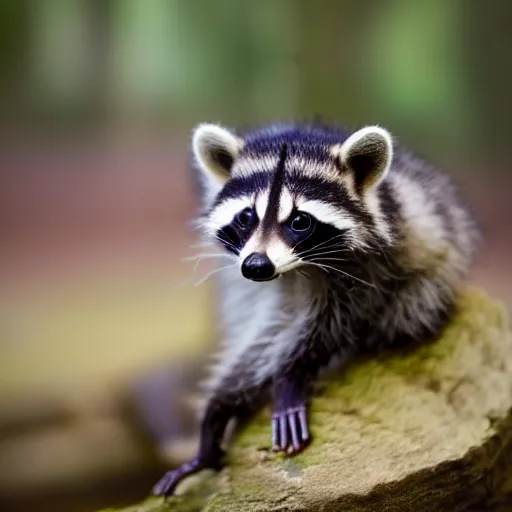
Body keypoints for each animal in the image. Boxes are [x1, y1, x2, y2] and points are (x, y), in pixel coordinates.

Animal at [152, 121, 480, 496]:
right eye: (247, 216)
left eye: (299, 221)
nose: (256, 266)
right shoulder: (256, 281)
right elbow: (265, 332)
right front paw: (218, 410)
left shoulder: (367, 267)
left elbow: (332, 323)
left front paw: (291, 375)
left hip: (433, 273)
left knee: (412, 306)